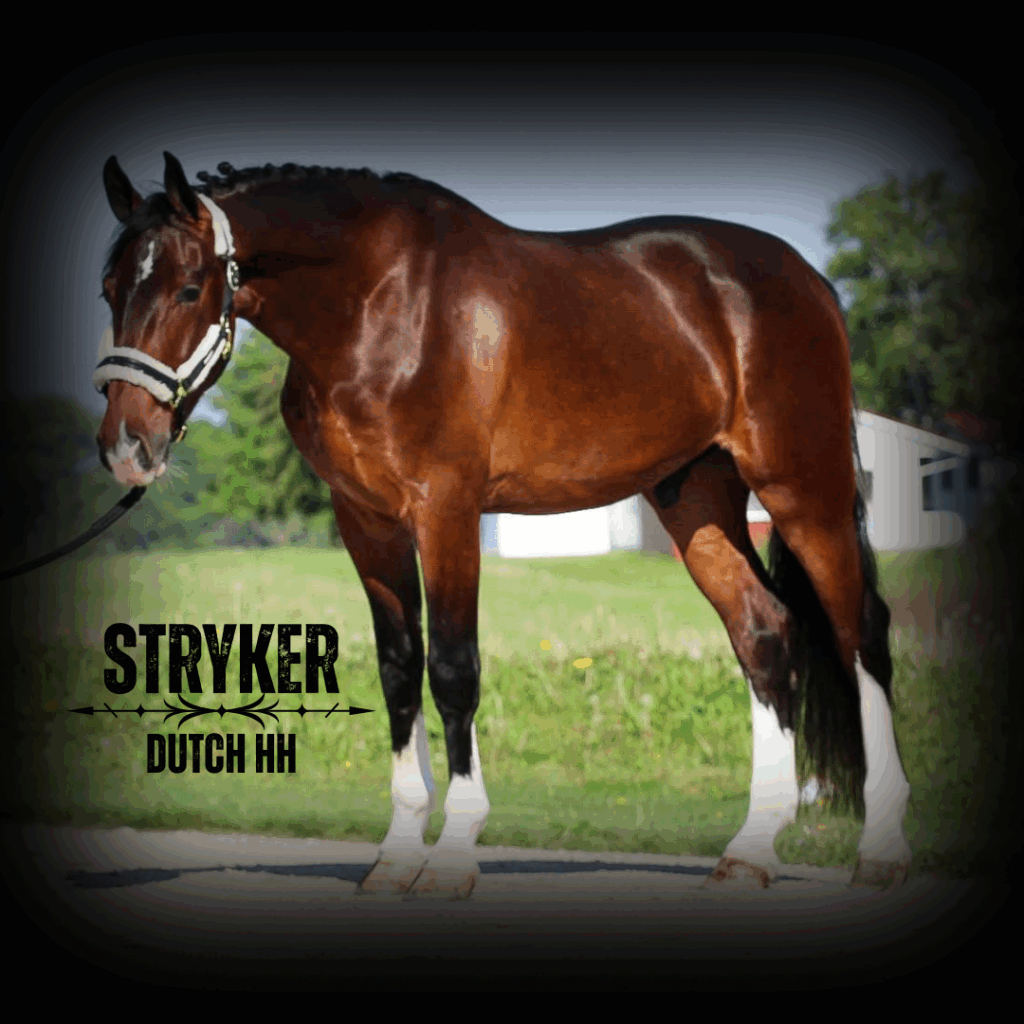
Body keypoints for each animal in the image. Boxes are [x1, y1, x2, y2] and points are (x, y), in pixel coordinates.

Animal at [94, 152, 912, 898]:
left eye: (190, 287)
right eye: (108, 289)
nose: (127, 447)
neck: (380, 306)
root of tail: (805, 278)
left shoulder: (446, 510)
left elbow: (454, 669)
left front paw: (454, 852)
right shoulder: (367, 521)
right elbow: (398, 670)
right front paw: (397, 854)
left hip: (803, 487)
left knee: (860, 632)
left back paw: (880, 848)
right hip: (697, 497)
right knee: (763, 632)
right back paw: (751, 850)